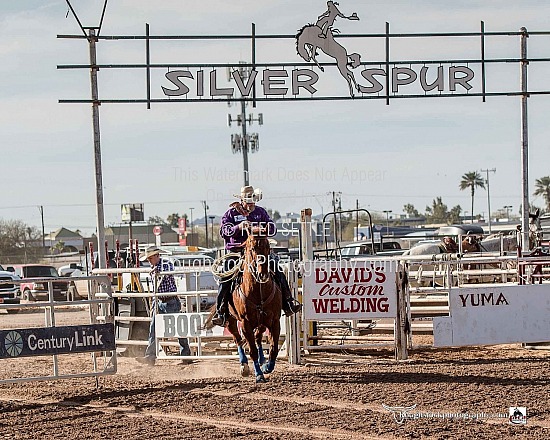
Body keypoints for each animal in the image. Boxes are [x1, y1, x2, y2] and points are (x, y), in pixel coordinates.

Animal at [216, 235, 284, 384]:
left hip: (261, 323)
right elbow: (252, 350)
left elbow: (274, 348)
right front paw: (259, 375)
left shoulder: (275, 321)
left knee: (257, 337)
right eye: (252, 248)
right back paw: (244, 366)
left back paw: (262, 361)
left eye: (268, 247)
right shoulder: (245, 323)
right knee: (238, 339)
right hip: (231, 321)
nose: (262, 273)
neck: (258, 291)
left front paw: (267, 367)